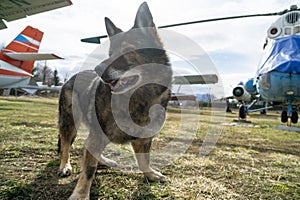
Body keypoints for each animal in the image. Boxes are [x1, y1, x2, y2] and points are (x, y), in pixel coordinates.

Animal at [57, 2, 172, 199]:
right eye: (110, 53)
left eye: (127, 50)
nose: (97, 69)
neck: (137, 99)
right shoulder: (97, 135)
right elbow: (88, 169)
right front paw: (80, 194)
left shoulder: (143, 139)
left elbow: (144, 161)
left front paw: (150, 174)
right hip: (69, 122)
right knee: (66, 146)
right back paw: (65, 166)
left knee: (87, 147)